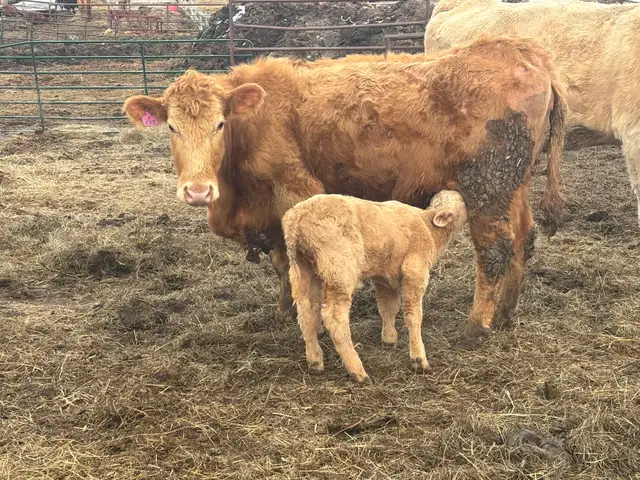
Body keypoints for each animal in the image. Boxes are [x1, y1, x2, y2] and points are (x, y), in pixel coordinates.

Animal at [122, 35, 566, 346]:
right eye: (171, 126)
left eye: (219, 124)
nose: (197, 191)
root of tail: (524, 51)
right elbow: (280, 263)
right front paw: (285, 310)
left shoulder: (297, 191)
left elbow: (299, 264)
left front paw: (310, 318)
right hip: (515, 187)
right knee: (524, 239)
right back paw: (505, 313)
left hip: (487, 188)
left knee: (495, 249)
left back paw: (476, 326)